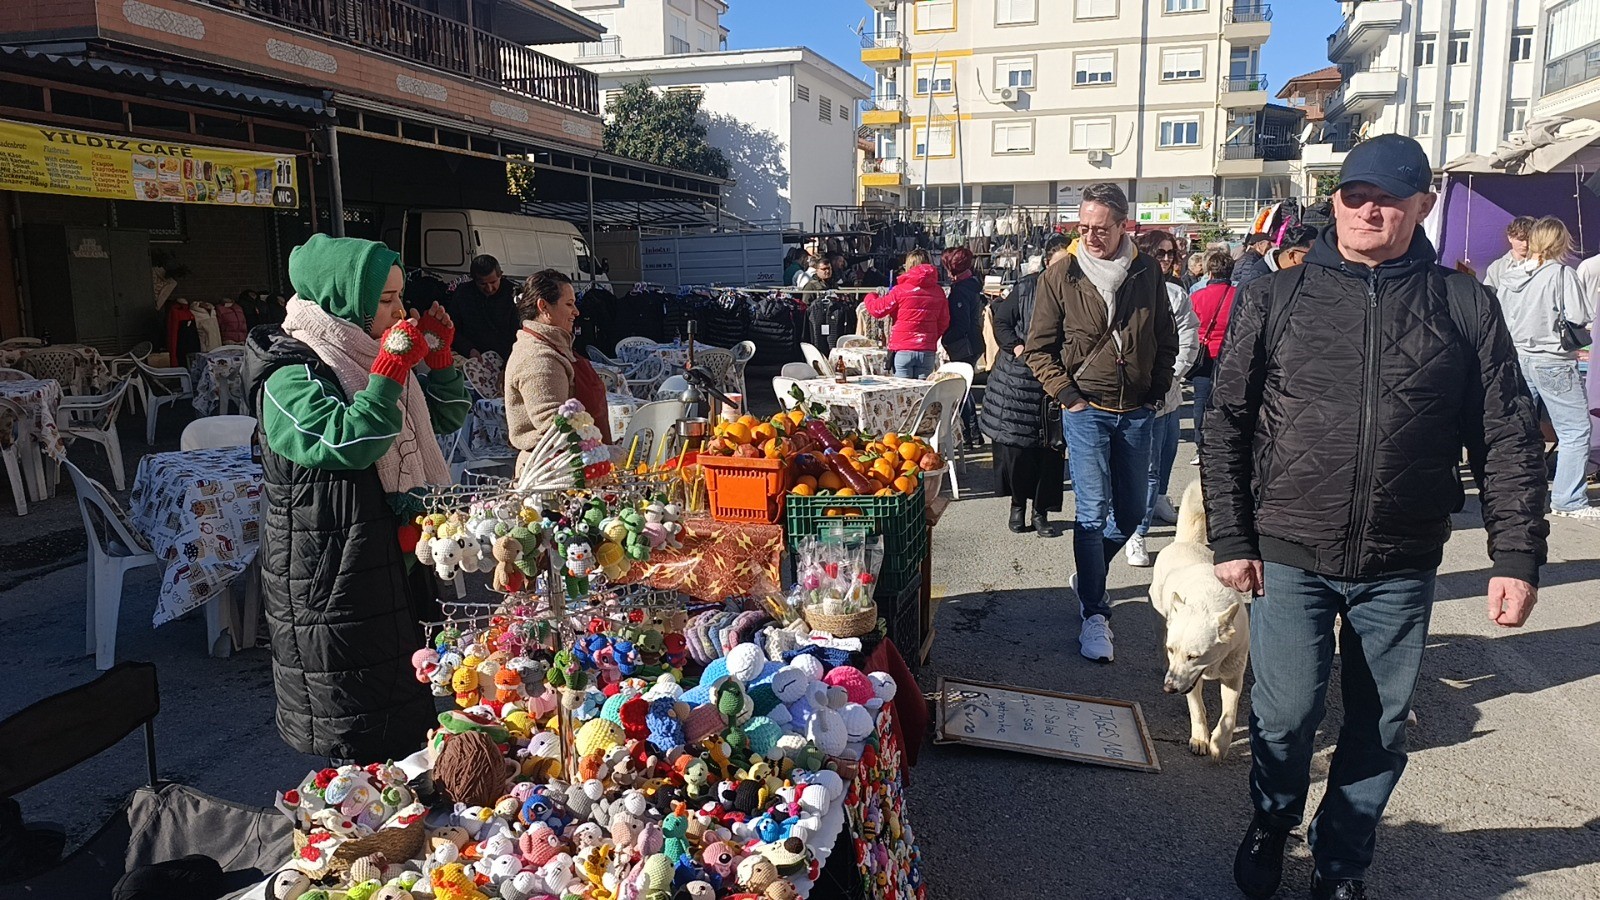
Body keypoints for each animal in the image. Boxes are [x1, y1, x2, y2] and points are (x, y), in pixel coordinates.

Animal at [1152, 477, 1248, 755]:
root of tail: (1185, 542)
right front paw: (1200, 738)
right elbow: (1196, 708)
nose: (1168, 688)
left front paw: (1219, 743)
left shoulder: (1233, 674)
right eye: (1172, 650)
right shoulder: (1189, 681)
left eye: (1194, 656)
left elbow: (1229, 713)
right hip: (1159, 610)